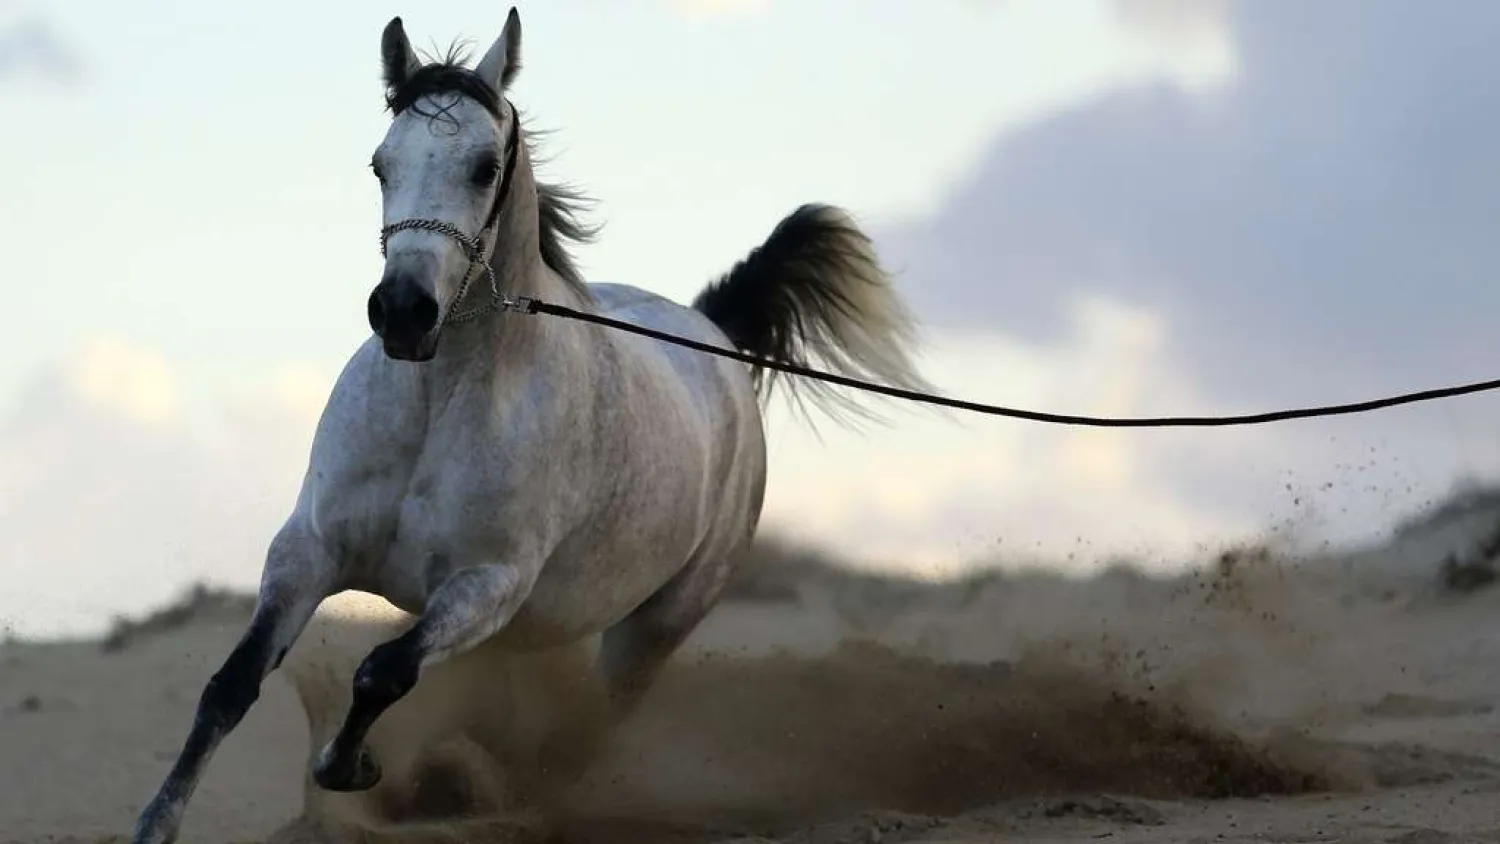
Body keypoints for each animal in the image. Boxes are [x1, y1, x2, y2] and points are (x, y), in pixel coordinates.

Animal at [131, 8, 931, 843]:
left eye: (485, 167)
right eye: (381, 165)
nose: (403, 311)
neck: (436, 407)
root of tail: (710, 331)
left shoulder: (487, 586)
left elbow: (382, 671)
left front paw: (350, 768)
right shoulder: (307, 552)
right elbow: (230, 686)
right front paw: (157, 822)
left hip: (652, 630)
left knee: (579, 740)